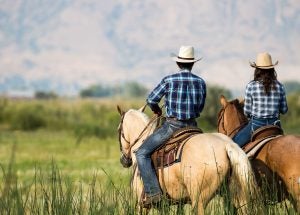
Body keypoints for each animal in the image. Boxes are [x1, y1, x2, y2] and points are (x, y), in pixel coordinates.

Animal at [118, 105, 260, 214]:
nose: (124, 160)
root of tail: (227, 145)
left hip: (199, 201)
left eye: (119, 130)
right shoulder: (176, 203)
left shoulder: (141, 205)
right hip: (238, 197)